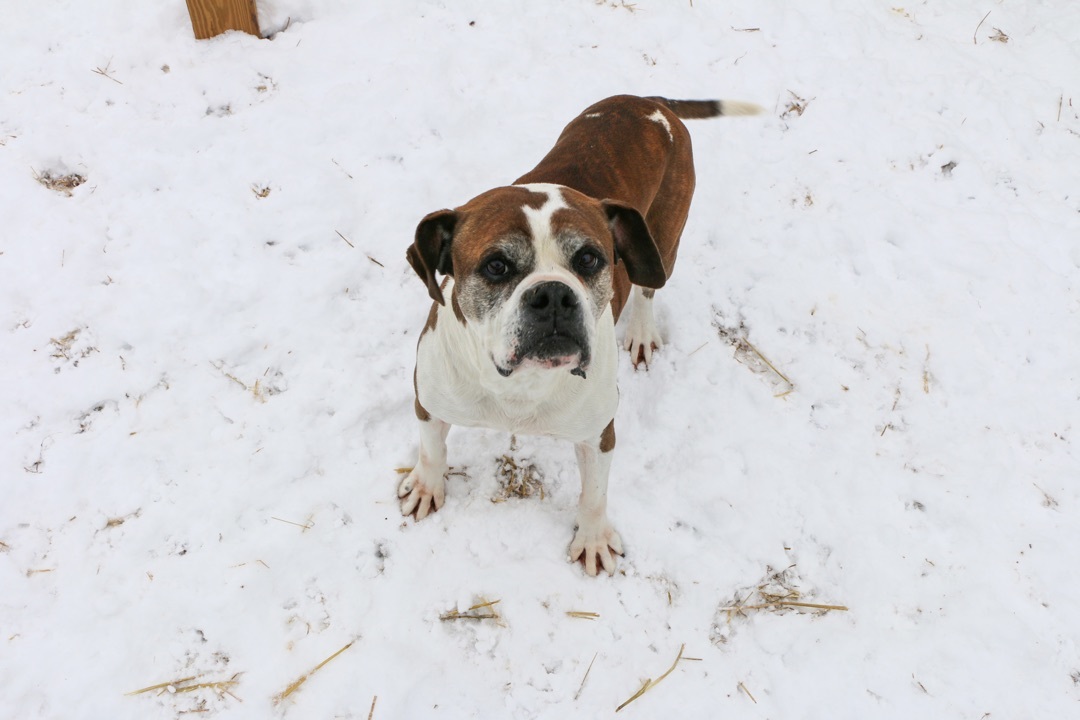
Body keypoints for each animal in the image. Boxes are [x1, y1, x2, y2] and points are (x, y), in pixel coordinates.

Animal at [401, 94, 764, 574]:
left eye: (589, 259)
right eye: (496, 265)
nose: (553, 295)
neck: (520, 387)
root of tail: (649, 101)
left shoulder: (598, 436)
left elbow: (594, 495)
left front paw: (592, 540)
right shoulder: (429, 402)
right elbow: (431, 450)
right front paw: (427, 486)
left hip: (662, 244)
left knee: (649, 286)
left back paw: (642, 331)